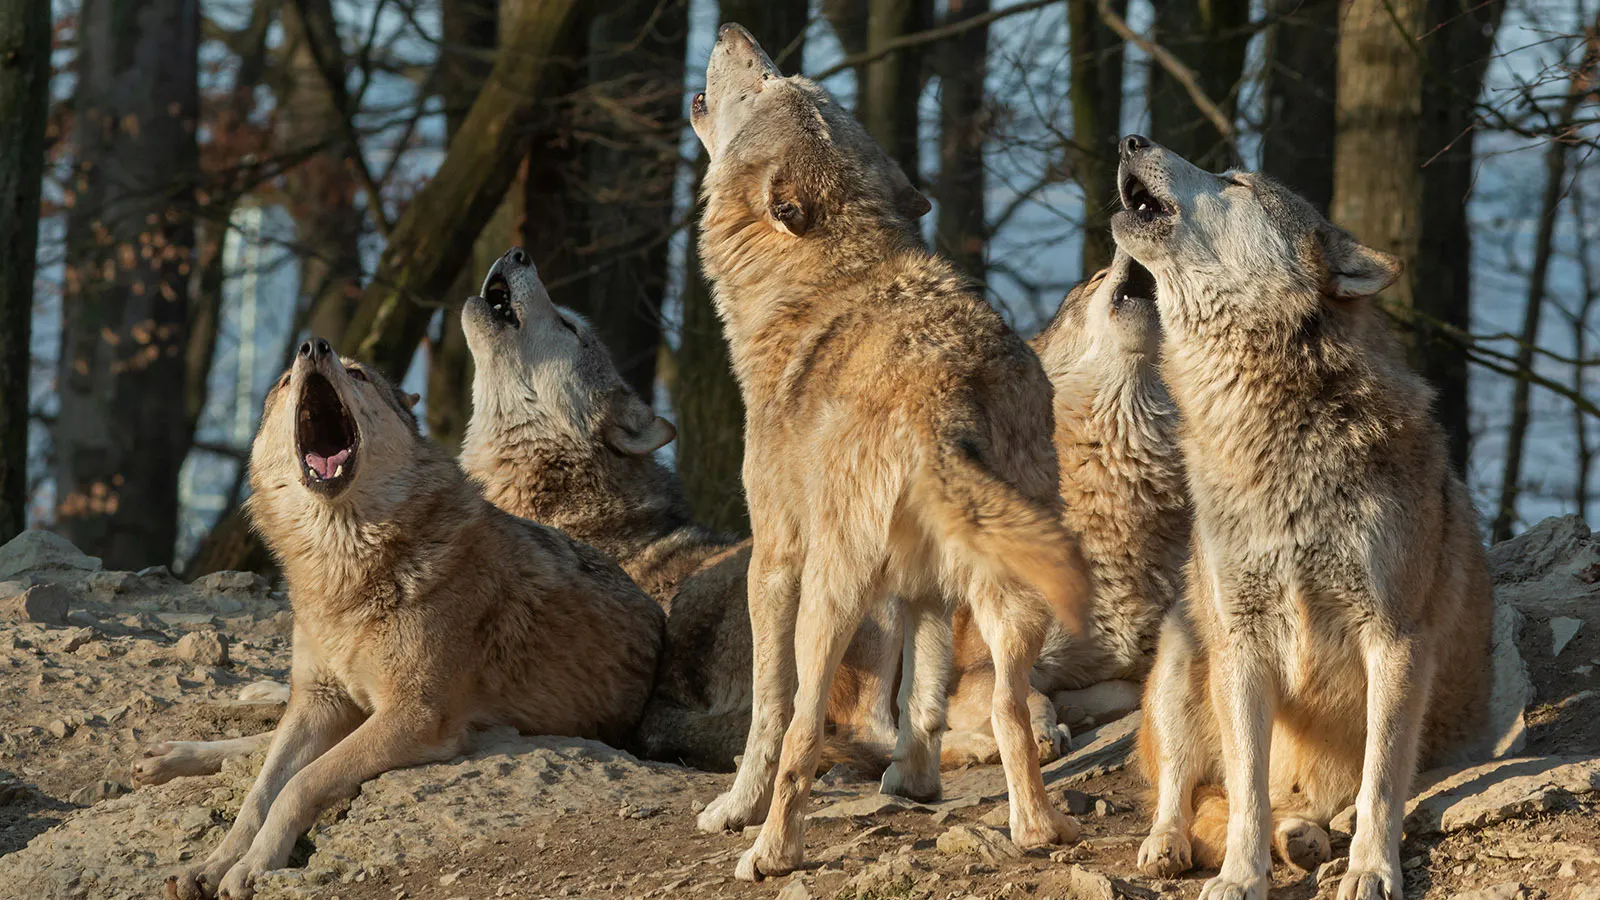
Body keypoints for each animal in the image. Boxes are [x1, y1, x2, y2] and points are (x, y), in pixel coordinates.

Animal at [162, 339, 663, 900]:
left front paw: (251, 867)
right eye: (288, 379)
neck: (344, 565)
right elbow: (259, 791)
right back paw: (162, 757)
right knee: (260, 744)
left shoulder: (414, 715)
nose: (314, 345)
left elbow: (298, 784)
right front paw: (213, 863)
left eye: (358, 374)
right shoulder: (319, 699)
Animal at [690, 23, 1090, 881]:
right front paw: (914, 782)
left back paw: (771, 852)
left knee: (805, 728)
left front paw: (734, 810)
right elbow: (924, 697)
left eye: (772, 84)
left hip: (831, 594)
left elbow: (768, 713)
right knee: (1010, 708)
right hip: (1014, 589)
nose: (735, 30)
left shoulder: (774, 557)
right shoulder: (925, 588)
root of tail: (949, 390)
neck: (815, 277)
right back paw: (1039, 829)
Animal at [940, 250, 1190, 766]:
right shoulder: (980, 666)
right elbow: (1023, 694)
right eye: (1096, 277)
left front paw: (1076, 709)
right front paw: (1039, 731)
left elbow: (1124, 690)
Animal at [1111, 135, 1493, 900]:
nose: (1133, 139)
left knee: (1322, 806)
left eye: (1234, 181)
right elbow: (1246, 793)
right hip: (1184, 650)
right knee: (1183, 786)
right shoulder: (1242, 643)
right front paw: (1239, 878)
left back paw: (1312, 836)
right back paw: (1171, 844)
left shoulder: (1395, 640)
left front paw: (1373, 869)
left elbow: (1381, 781)